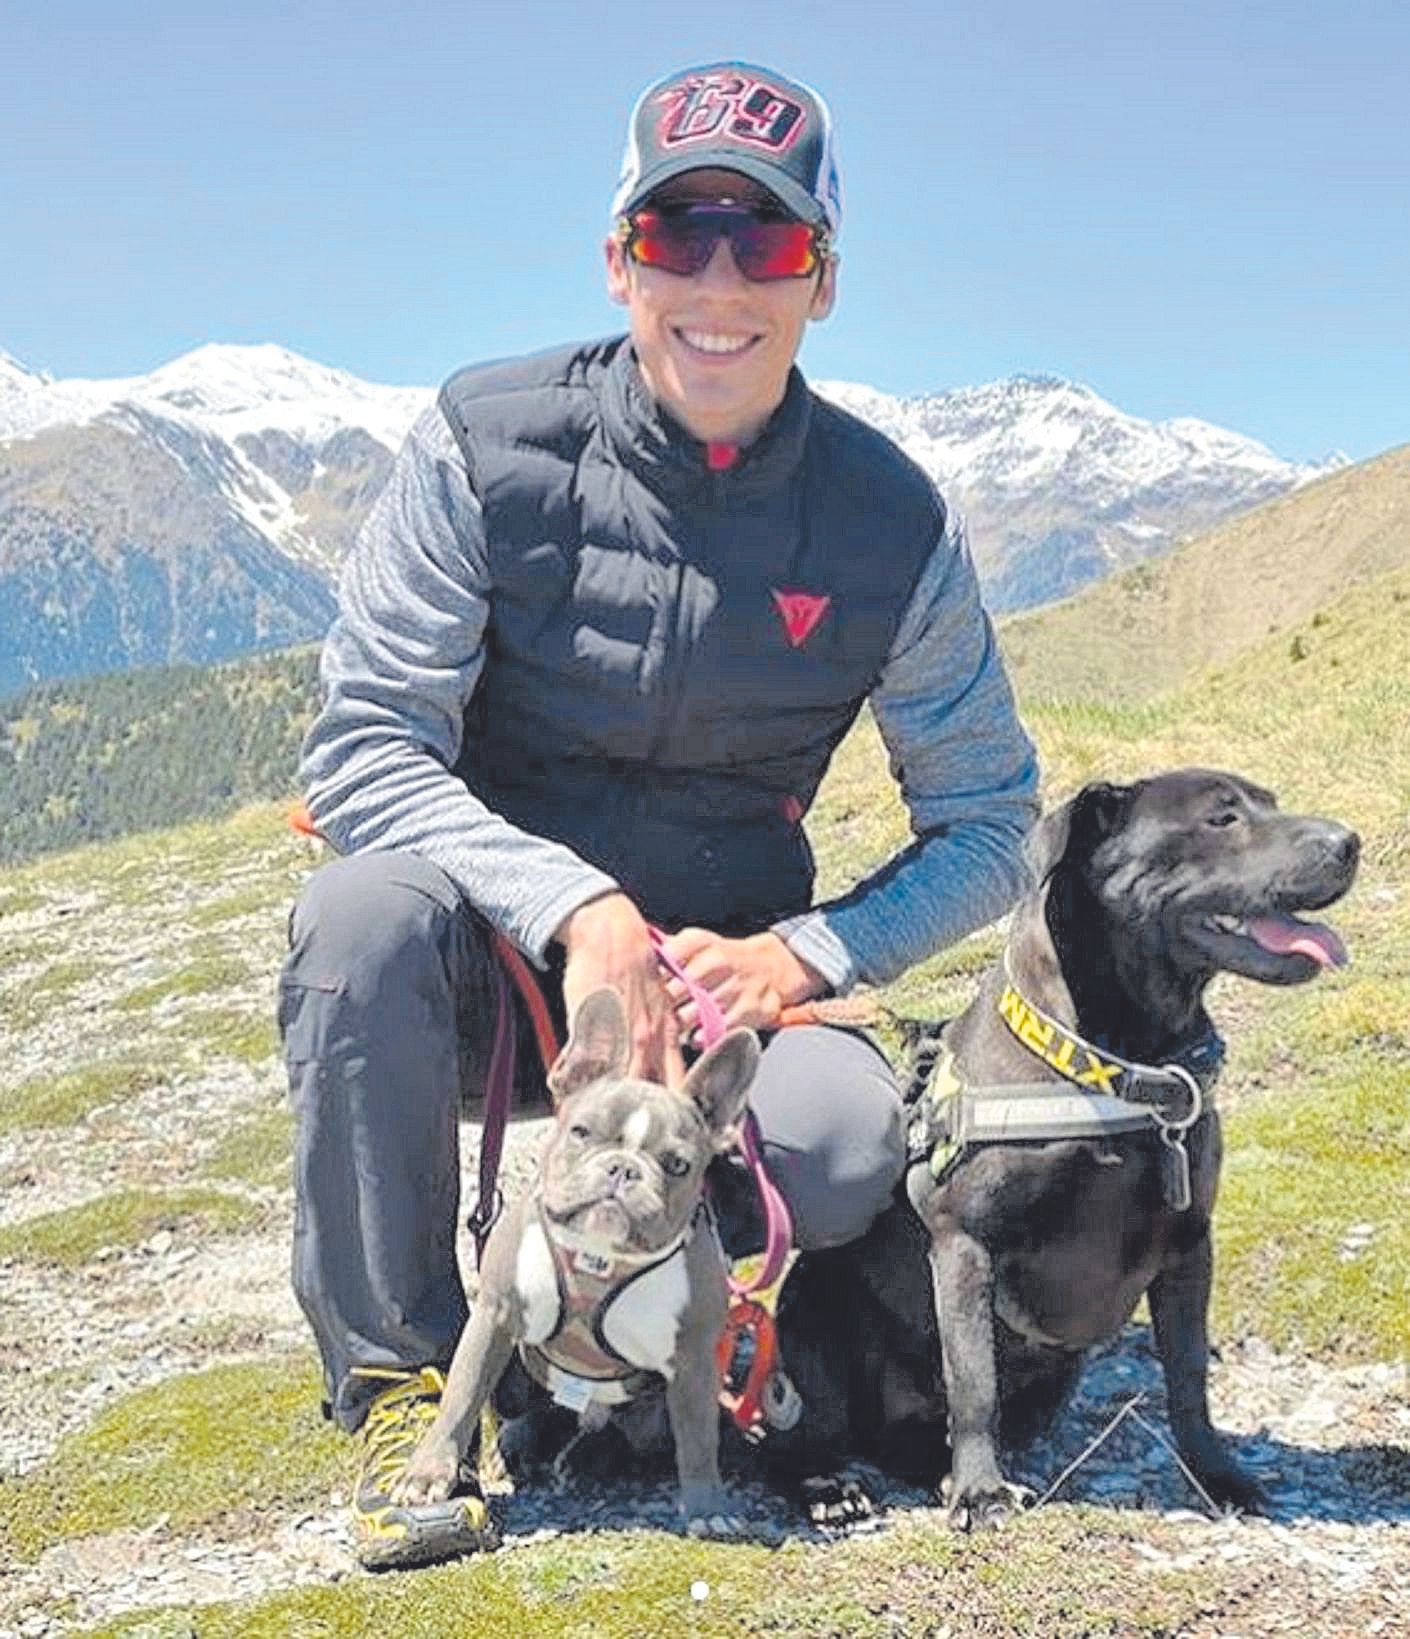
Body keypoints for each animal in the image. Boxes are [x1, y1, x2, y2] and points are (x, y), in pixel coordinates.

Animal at [764, 767, 1357, 1520]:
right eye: (1221, 818)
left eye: (1271, 805)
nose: (1348, 841)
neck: (1117, 1062)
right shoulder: (963, 1243)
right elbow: (973, 1380)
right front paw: (982, 1490)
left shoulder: (1190, 1247)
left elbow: (1189, 1379)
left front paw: (1218, 1475)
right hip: (812, 1321)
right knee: (797, 1439)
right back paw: (832, 1485)